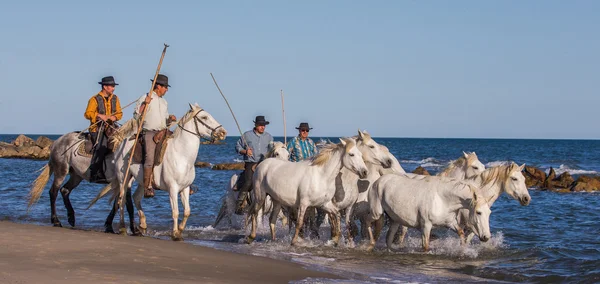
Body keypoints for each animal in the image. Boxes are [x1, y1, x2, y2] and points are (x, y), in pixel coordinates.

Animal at [109, 103, 226, 241]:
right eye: (204, 117)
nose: (223, 132)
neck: (182, 155)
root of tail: (122, 143)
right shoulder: (173, 189)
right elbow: (175, 212)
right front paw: (175, 233)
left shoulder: (185, 188)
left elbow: (187, 211)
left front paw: (180, 230)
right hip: (124, 178)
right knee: (121, 200)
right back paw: (122, 227)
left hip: (142, 181)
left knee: (136, 197)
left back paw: (142, 225)